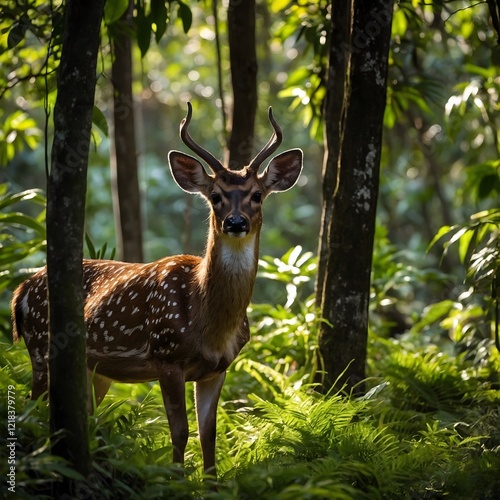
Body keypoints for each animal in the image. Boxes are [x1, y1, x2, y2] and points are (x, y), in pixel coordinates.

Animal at [11, 102, 302, 476]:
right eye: (215, 196)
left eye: (257, 195)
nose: (235, 222)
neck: (208, 323)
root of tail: (21, 291)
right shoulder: (167, 355)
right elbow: (179, 430)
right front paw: (177, 478)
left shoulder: (218, 368)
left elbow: (209, 434)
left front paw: (210, 480)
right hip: (40, 347)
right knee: (32, 406)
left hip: (93, 367)